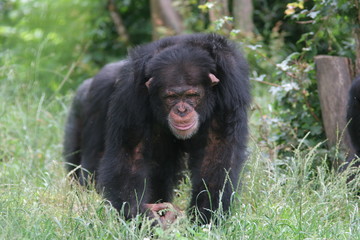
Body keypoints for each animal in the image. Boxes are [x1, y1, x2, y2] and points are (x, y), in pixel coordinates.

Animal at [63, 32, 250, 224]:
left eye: (192, 95)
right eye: (171, 97)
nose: (182, 110)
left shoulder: (230, 85)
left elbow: (216, 150)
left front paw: (204, 216)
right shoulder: (131, 90)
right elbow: (131, 153)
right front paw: (142, 216)